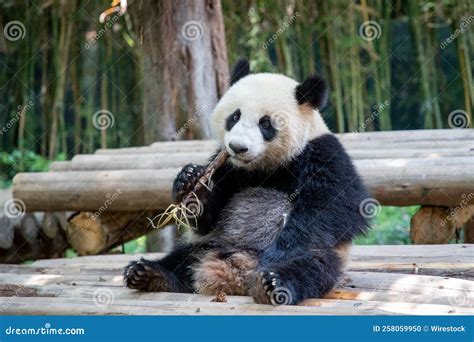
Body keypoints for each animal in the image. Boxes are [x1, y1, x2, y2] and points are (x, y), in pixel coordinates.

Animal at [125, 58, 370, 304]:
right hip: (212, 243)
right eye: (235, 116)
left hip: (323, 255)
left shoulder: (322, 155)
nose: (237, 147)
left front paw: (278, 256)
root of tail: (238, 272)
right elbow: (207, 218)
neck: (263, 167)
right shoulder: (227, 167)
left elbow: (332, 209)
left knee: (313, 265)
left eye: (266, 123)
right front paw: (190, 181)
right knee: (182, 258)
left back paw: (273, 285)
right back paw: (148, 274)